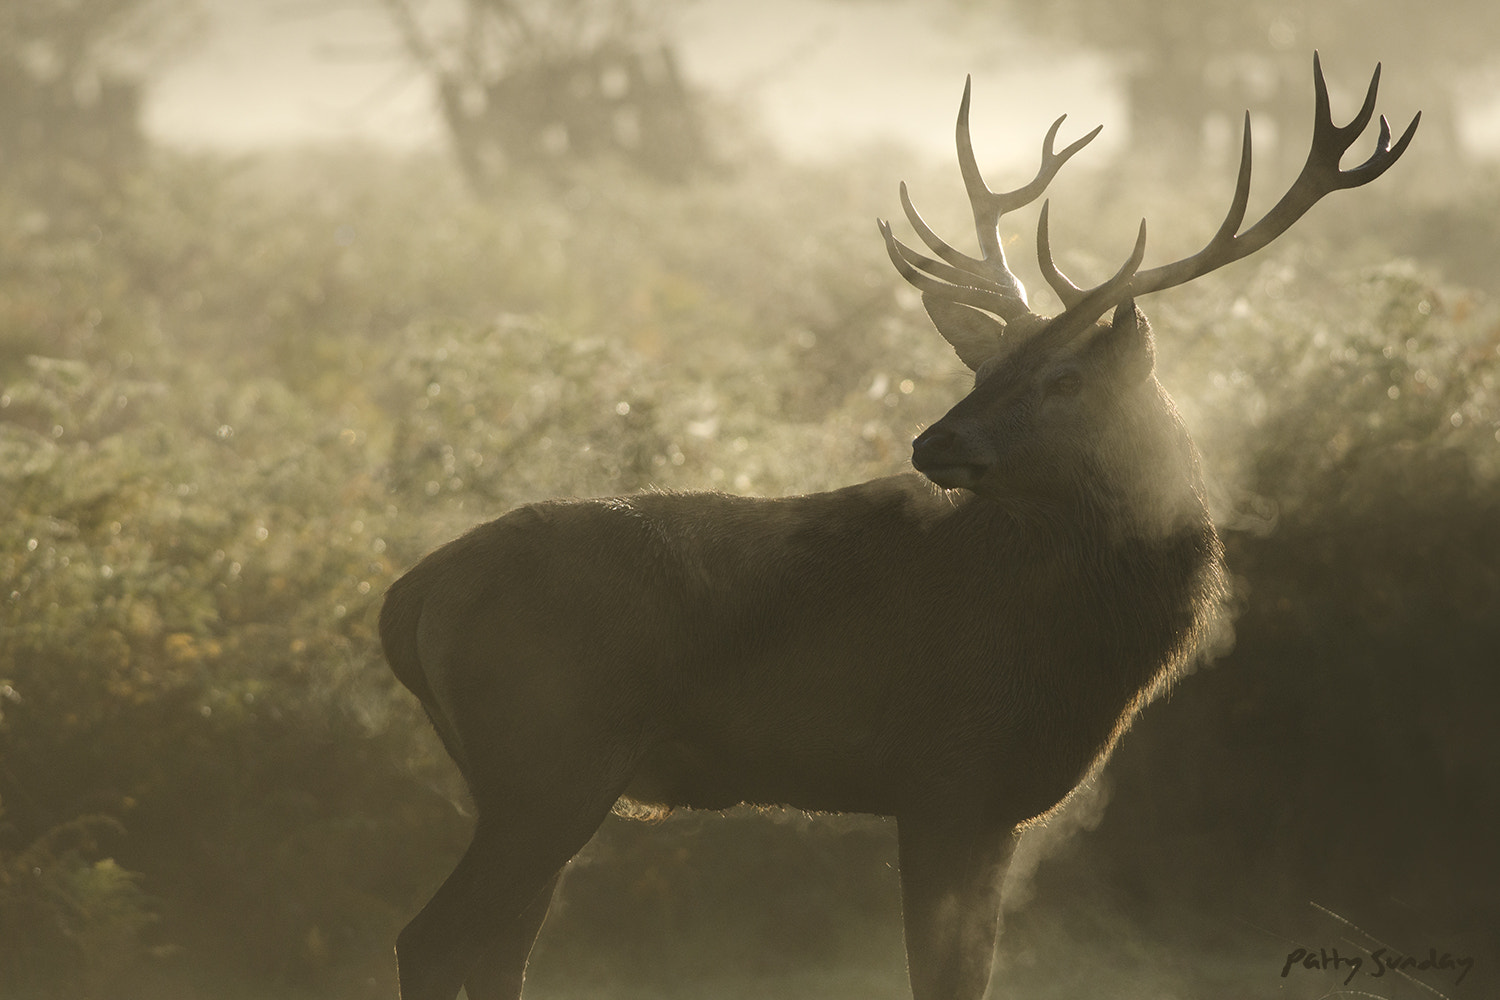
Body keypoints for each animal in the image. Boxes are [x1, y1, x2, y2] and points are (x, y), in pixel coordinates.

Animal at [379, 52, 1417, 1000]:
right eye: (983, 369)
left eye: (1064, 379)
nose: (933, 440)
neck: (1072, 655)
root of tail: (410, 596)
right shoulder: (951, 780)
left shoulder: (980, 805)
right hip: (551, 752)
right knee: (433, 939)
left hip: (529, 775)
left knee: (493, 949)